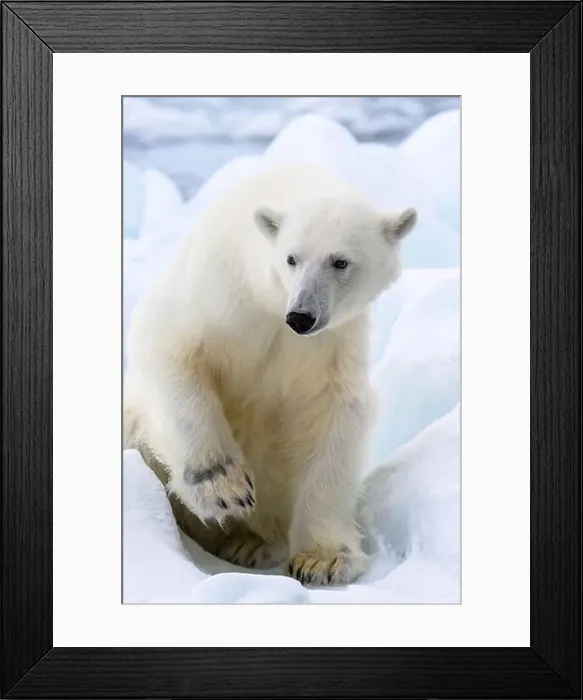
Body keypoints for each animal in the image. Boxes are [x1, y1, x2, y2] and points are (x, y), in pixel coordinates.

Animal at [123, 162, 417, 586]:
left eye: (340, 262)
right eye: (292, 258)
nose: (301, 316)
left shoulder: (330, 346)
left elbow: (333, 416)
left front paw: (323, 559)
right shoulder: (217, 297)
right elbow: (172, 350)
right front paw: (223, 487)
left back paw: (252, 544)